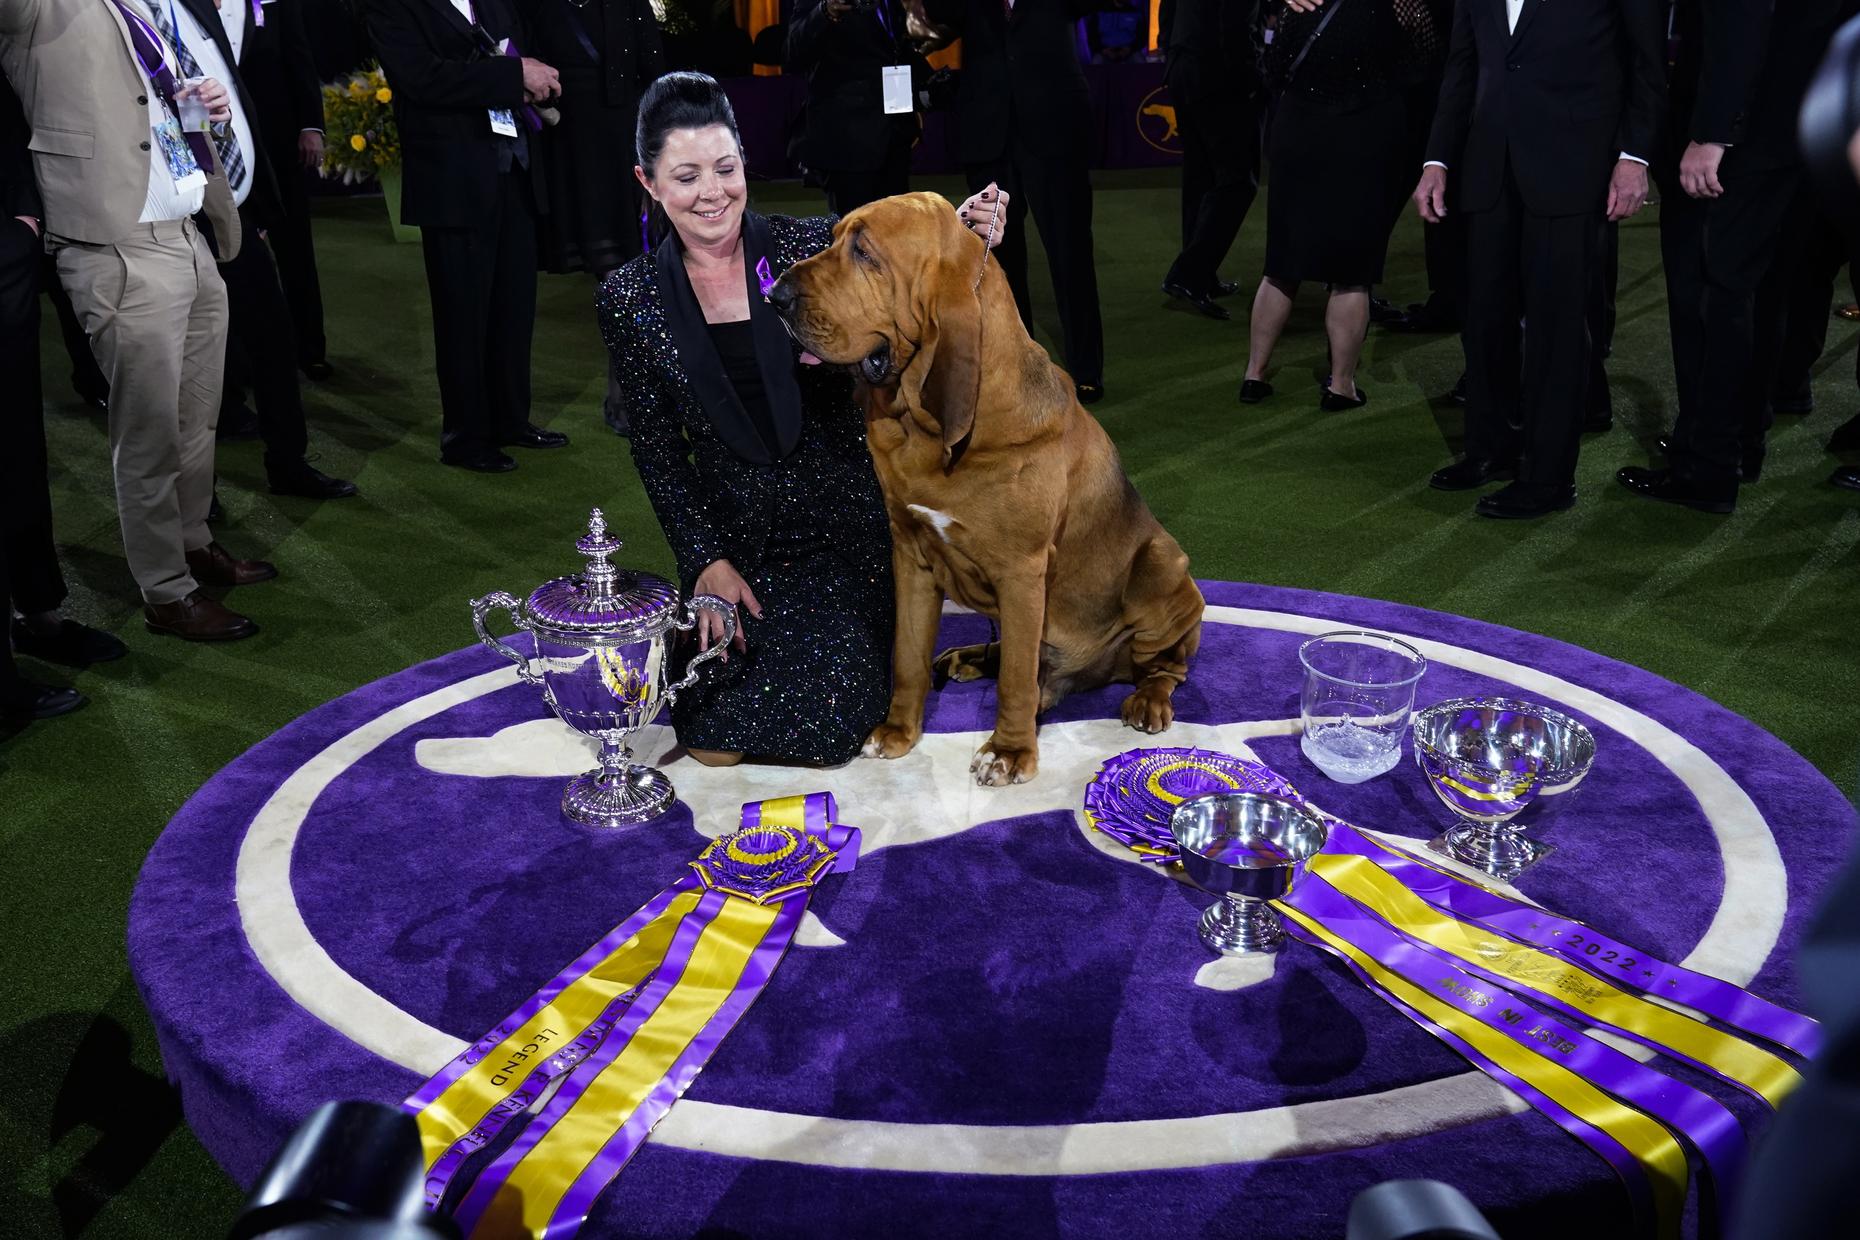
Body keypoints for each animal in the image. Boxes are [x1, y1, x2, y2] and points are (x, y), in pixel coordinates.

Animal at [770, 198, 1205, 791]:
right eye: (834, 237)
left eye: (864, 250)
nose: (774, 295)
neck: (932, 430)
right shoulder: (910, 554)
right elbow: (907, 656)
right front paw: (898, 731)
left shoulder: (1022, 573)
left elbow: (1017, 678)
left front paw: (1010, 751)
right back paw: (969, 656)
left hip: (1164, 565)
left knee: (1165, 665)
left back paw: (1147, 699)